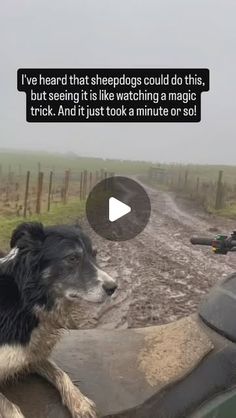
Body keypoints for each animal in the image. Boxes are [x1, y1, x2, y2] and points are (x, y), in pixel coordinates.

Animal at [0, 220, 116, 416]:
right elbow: (8, 404)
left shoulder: (33, 354)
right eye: (72, 258)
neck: (28, 301)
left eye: (94, 255)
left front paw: (80, 403)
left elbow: (61, 373)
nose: (113, 287)